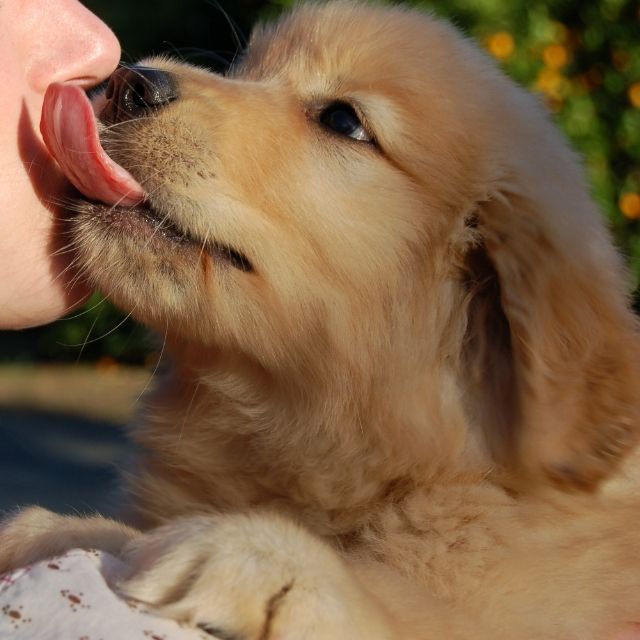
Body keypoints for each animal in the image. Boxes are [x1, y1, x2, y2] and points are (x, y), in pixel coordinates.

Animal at [3, 1, 640, 640]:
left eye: (343, 121)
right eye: (245, 70)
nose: (129, 83)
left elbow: (405, 610)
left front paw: (265, 558)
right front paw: (49, 528)